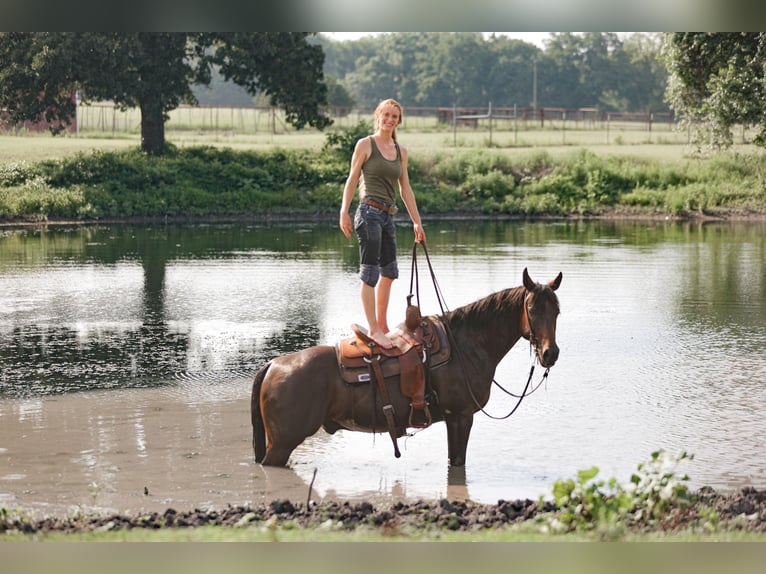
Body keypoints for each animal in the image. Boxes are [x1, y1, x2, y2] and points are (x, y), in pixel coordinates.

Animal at [252, 268, 564, 470]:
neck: (466, 345)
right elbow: (457, 461)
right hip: (281, 444)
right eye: (532, 310)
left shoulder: (455, 420)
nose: (550, 353)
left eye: (557, 311)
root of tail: (273, 364)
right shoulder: (460, 417)